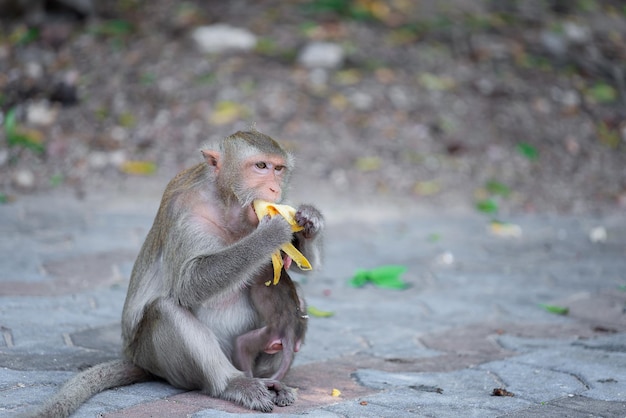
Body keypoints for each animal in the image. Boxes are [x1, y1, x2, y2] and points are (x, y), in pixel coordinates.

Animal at [23, 129, 322, 416]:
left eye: (279, 169)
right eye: (260, 166)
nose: (274, 188)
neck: (225, 203)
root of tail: (138, 360)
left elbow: (300, 268)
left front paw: (309, 220)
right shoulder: (187, 214)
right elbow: (189, 283)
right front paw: (270, 234)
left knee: (298, 296)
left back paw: (271, 380)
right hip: (161, 360)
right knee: (165, 310)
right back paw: (233, 383)